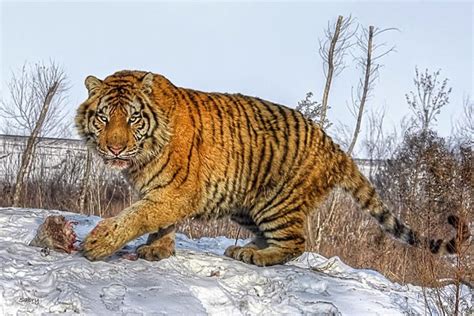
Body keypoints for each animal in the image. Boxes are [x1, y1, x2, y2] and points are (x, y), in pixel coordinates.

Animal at [76, 70, 468, 266]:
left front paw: (98, 243)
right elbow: (159, 221)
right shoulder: (166, 191)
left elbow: (138, 215)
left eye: (132, 118)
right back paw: (244, 248)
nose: (115, 147)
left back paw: (253, 255)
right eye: (104, 117)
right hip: (246, 205)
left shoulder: (176, 191)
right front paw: (158, 250)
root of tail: (334, 146)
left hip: (277, 203)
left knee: (296, 243)